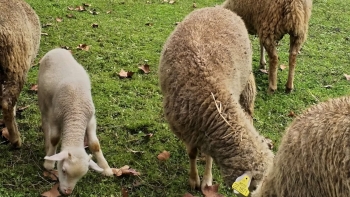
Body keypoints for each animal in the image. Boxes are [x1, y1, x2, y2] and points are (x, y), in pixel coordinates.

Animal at [38, 48, 113, 195]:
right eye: (63, 170)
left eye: (82, 176)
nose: (67, 192)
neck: (75, 115)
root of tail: (56, 49)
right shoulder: (55, 118)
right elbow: (55, 139)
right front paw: (49, 163)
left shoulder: (90, 120)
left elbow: (95, 144)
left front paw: (106, 168)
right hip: (43, 100)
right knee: (45, 123)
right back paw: (47, 145)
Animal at [158, 7, 274, 192]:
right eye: (255, 187)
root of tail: (219, 8)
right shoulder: (187, 131)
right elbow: (191, 154)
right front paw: (194, 180)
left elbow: (209, 156)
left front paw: (207, 180)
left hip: (246, 81)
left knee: (248, 111)